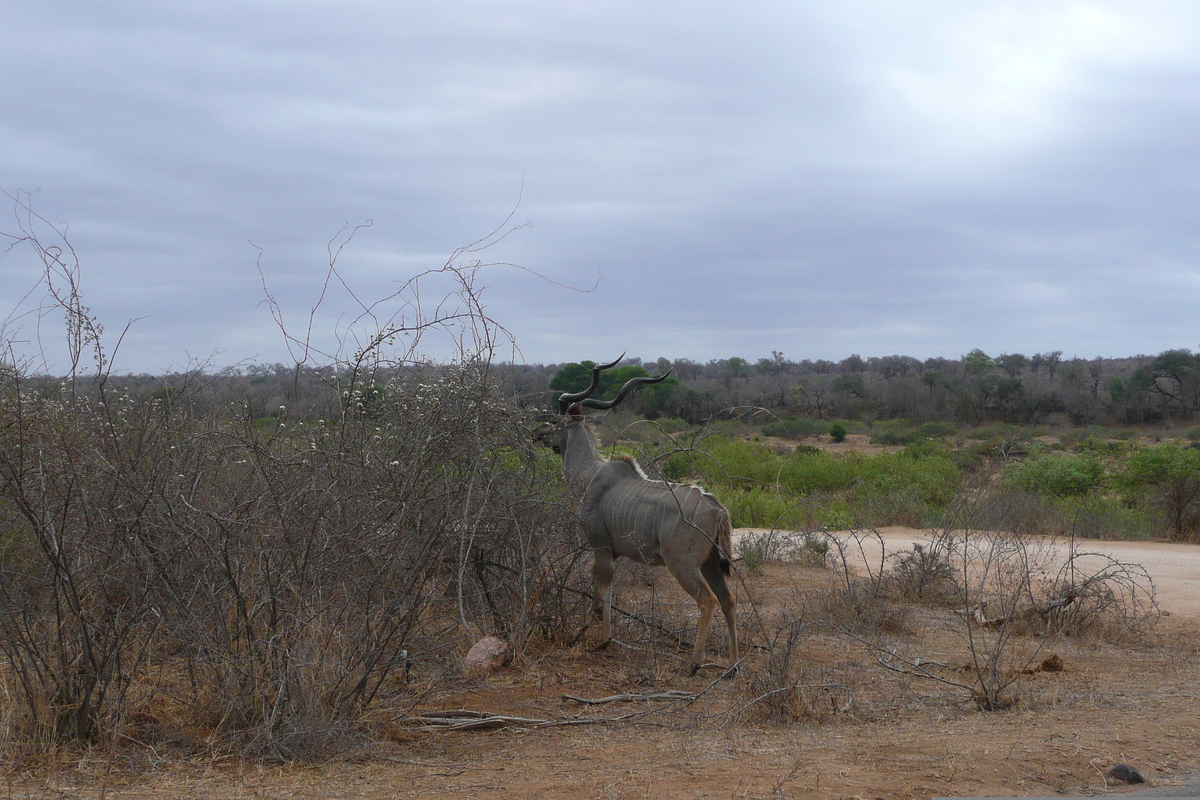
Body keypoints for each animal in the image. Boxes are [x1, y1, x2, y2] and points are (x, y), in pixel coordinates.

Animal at [537, 357, 739, 671]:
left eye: (555, 421)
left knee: (708, 601)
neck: (590, 476)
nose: (536, 435)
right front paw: (596, 616)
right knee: (728, 600)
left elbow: (605, 587)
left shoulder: (601, 545)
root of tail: (717, 509)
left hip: (682, 564)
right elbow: (597, 583)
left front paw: (604, 639)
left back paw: (694, 663)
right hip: (710, 564)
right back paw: (732, 664)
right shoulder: (612, 552)